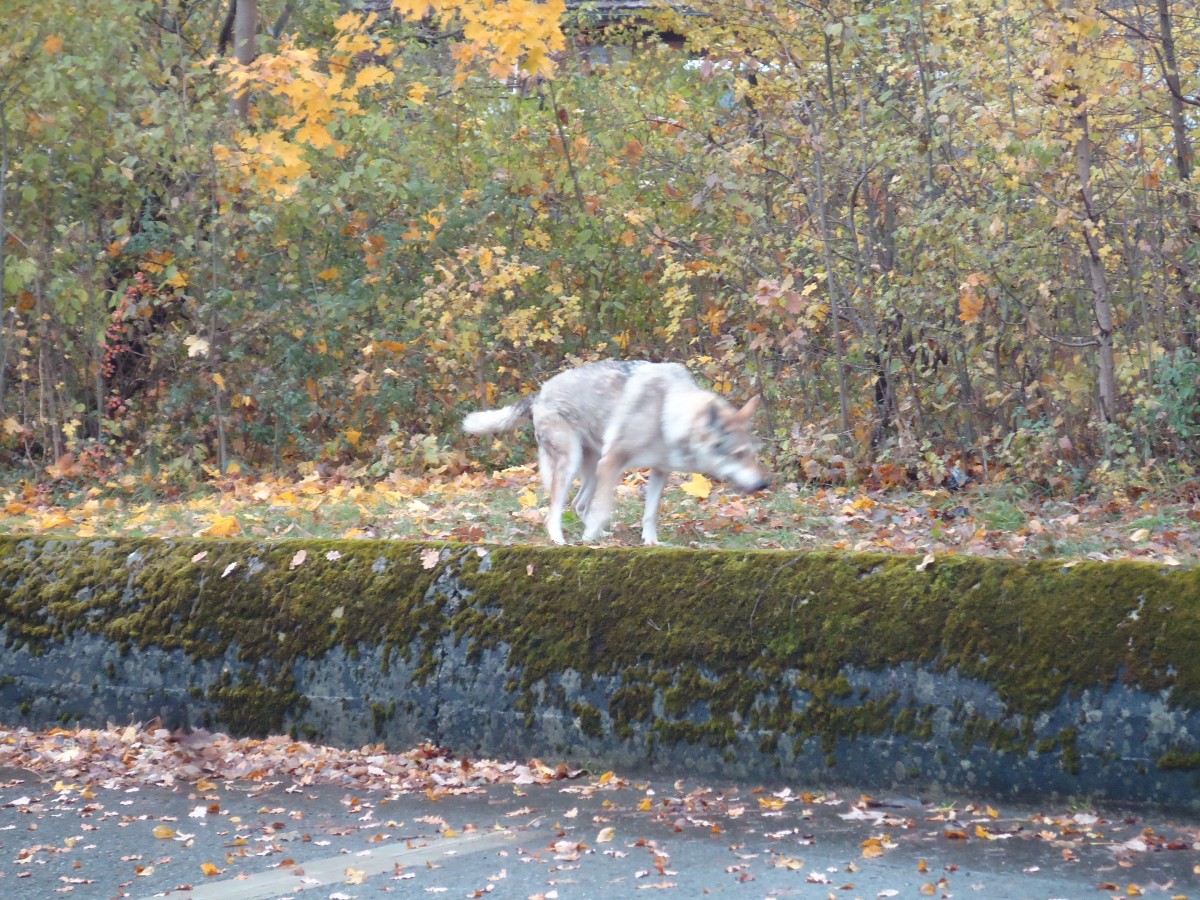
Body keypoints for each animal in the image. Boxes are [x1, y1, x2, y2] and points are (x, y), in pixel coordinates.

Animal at [463, 361, 770, 545]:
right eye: (738, 454)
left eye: (752, 454)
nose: (764, 484)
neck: (666, 412)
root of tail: (539, 394)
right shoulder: (613, 462)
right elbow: (602, 510)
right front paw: (589, 539)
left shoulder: (659, 471)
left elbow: (650, 513)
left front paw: (651, 542)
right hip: (574, 465)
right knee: (555, 511)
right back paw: (562, 540)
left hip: (593, 469)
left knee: (579, 504)